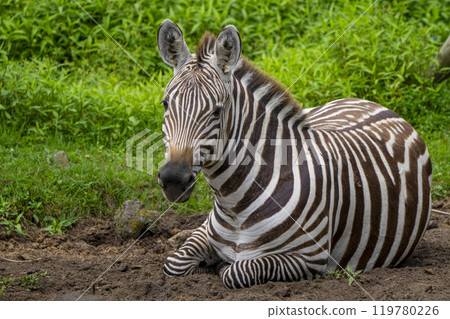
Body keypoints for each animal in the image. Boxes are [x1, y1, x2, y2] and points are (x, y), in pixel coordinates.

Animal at [156, 20, 432, 290]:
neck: (234, 204)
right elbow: (174, 263)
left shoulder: (309, 259)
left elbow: (237, 271)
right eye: (165, 103)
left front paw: (220, 266)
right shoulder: (205, 231)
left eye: (217, 111)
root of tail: (378, 106)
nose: (173, 180)